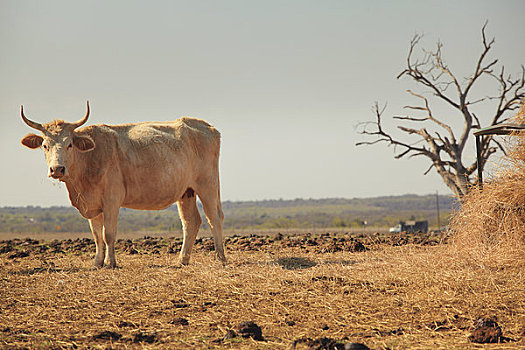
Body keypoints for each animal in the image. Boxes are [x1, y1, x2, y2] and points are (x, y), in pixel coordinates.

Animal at [20, 101, 225, 268]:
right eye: (45, 145)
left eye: (69, 144)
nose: (57, 169)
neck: (89, 158)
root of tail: (207, 127)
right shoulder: (92, 204)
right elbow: (97, 236)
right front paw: (97, 263)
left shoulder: (112, 200)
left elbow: (108, 233)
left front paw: (110, 263)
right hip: (186, 192)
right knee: (191, 222)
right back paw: (182, 260)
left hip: (208, 185)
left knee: (214, 218)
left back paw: (220, 257)